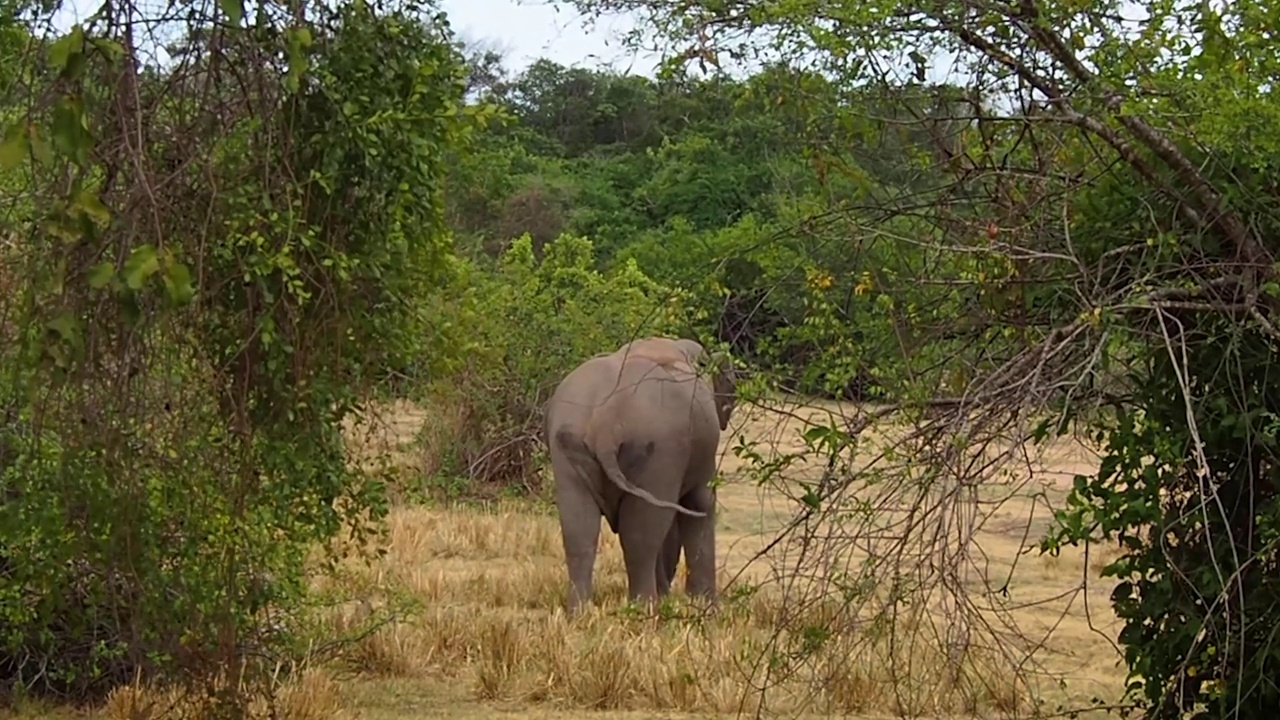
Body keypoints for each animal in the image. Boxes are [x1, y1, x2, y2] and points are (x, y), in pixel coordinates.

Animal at [542, 335, 742, 609]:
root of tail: (605, 422)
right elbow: (699, 503)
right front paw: (706, 606)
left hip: (567, 446)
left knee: (579, 529)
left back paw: (579, 611)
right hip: (661, 448)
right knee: (642, 533)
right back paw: (646, 608)